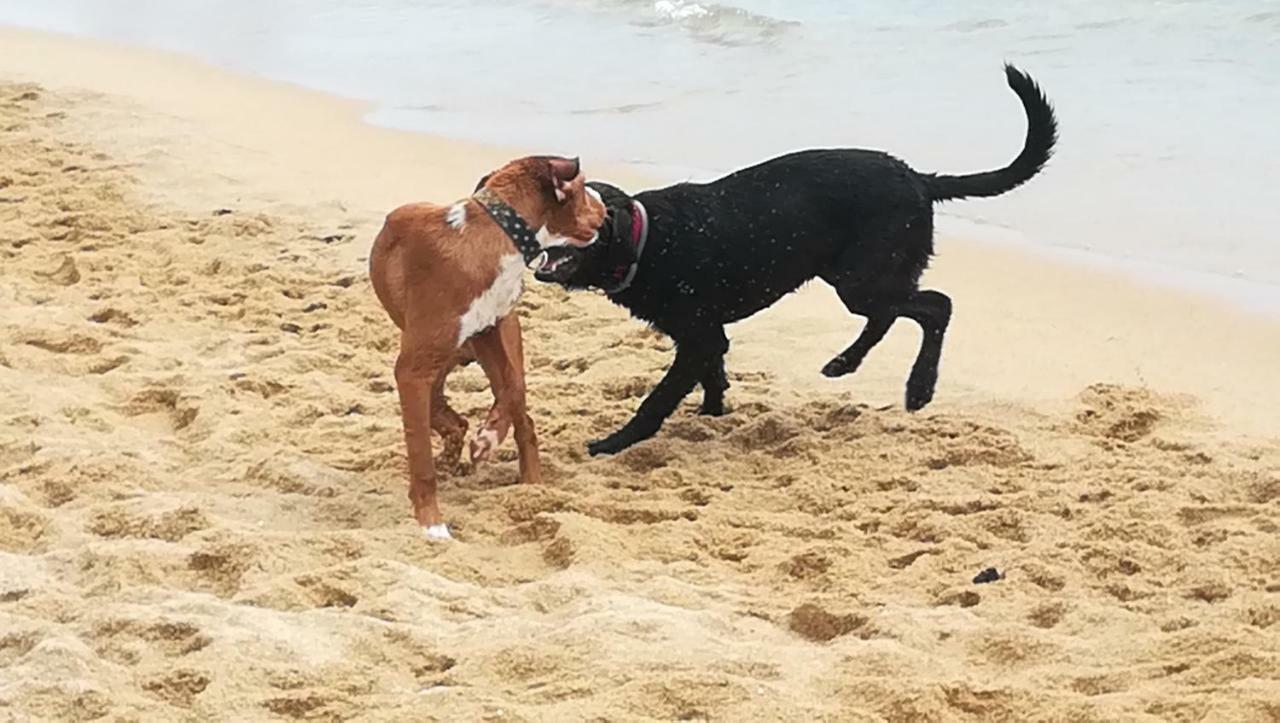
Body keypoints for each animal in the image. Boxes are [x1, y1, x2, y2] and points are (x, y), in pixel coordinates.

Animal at [371, 154, 604, 537]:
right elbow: (420, 455)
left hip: (496, 341)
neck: (493, 234)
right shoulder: (412, 370)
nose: (606, 206)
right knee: (448, 411)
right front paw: (431, 523)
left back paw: (531, 485)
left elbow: (512, 387)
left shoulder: (492, 333)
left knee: (519, 413)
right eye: (584, 188)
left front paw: (488, 437)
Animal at [532, 64, 1059, 452]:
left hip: (863, 277)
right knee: (894, 314)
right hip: (858, 277)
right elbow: (713, 376)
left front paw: (613, 442)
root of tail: (919, 179)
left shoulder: (698, 335)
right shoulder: (705, 337)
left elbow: (659, 398)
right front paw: (712, 414)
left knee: (934, 307)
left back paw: (918, 387)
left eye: (579, 211)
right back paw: (845, 364)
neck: (648, 240)